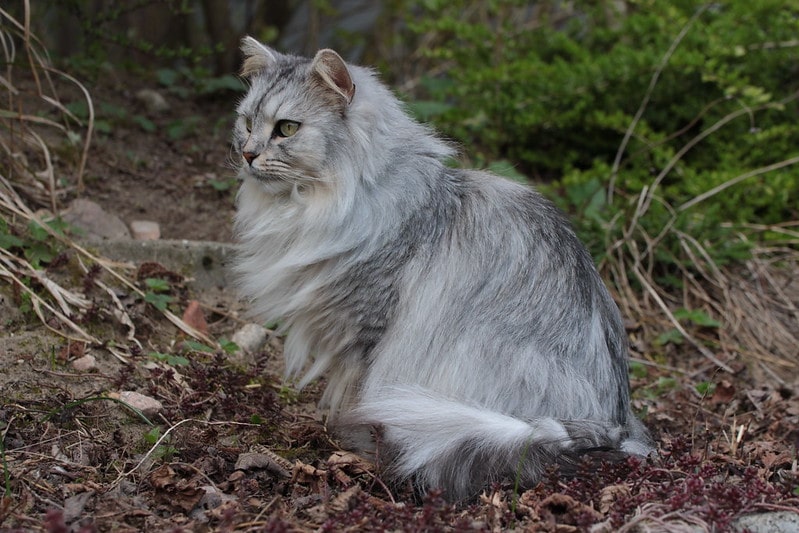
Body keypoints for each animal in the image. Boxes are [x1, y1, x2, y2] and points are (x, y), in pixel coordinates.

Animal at [233, 36, 656, 498]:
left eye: (287, 129)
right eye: (247, 122)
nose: (248, 153)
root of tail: (615, 425)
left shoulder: (371, 327)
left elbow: (359, 392)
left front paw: (350, 437)